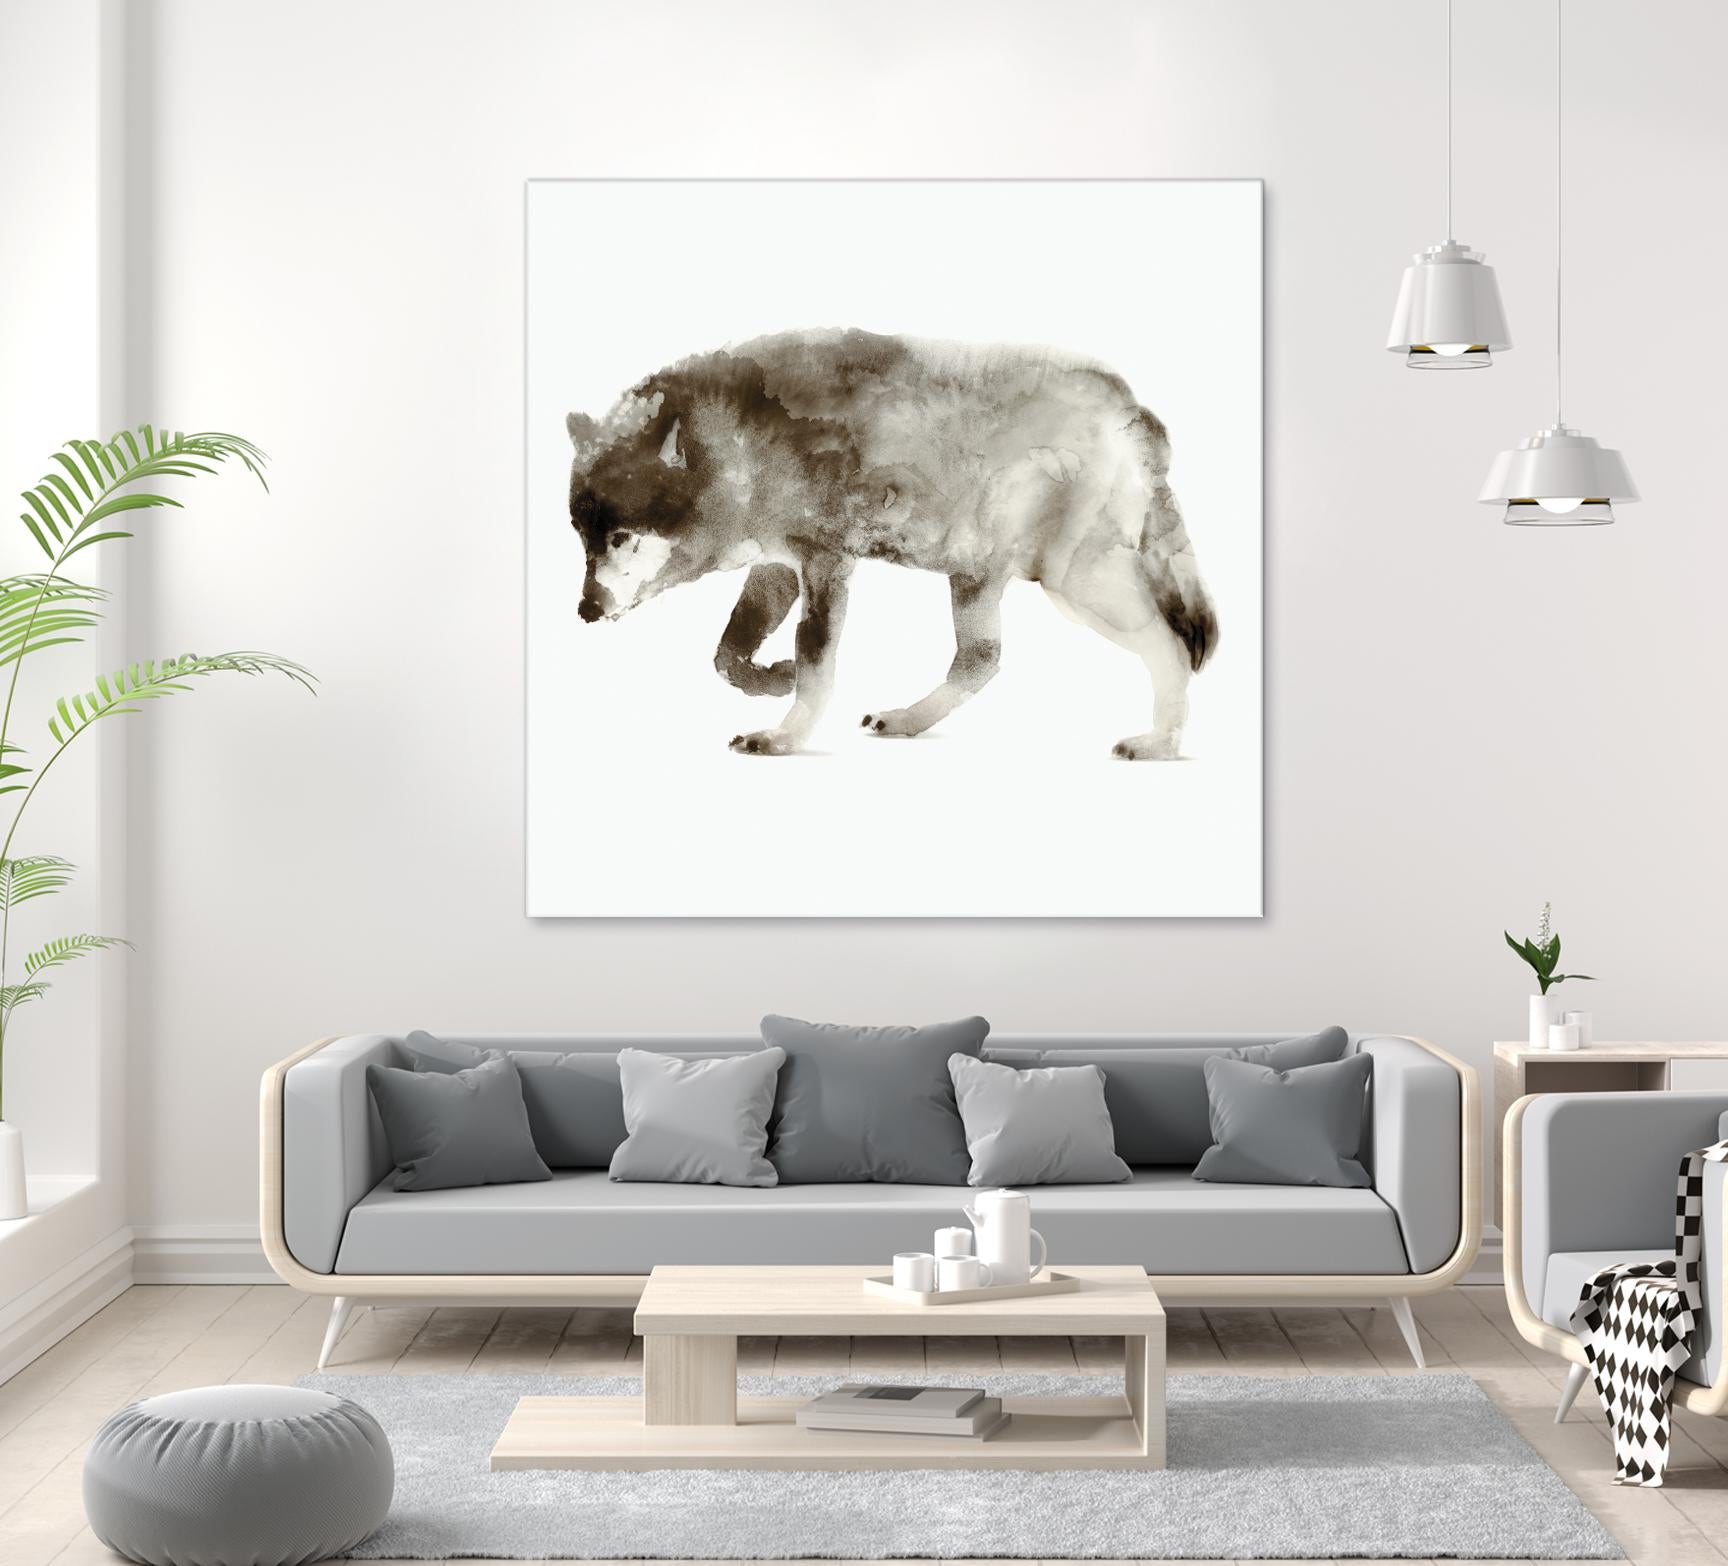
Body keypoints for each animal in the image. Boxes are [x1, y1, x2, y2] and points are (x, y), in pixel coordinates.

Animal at [565, 328, 1217, 758]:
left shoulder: (826, 562)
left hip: (1074, 583)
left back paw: (1161, 743)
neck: (737, 444)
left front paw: (783, 735)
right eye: (581, 537)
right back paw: (906, 721)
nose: (585, 611)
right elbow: (728, 655)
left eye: (620, 537)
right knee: (982, 660)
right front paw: (773, 678)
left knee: (1171, 645)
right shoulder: (779, 565)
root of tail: (1130, 405)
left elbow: (814, 661)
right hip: (976, 574)